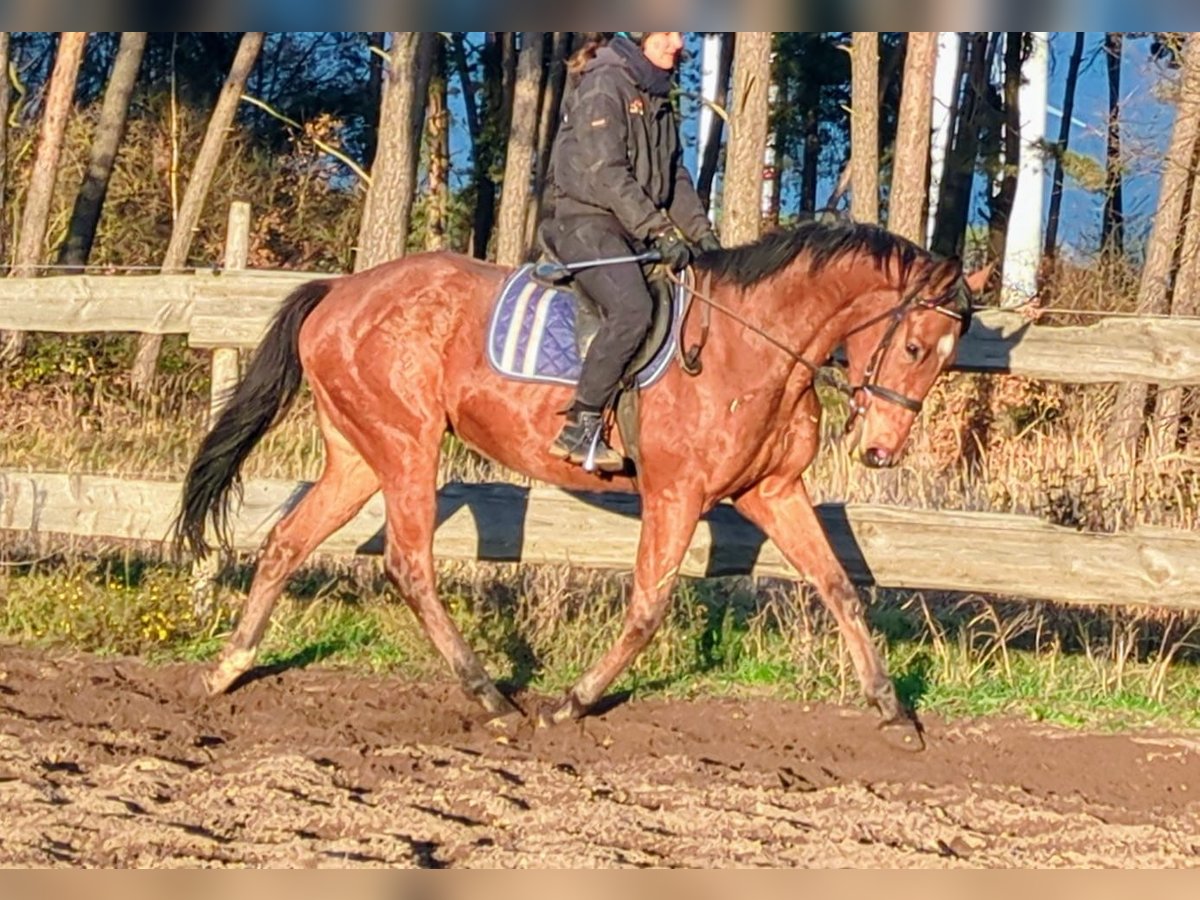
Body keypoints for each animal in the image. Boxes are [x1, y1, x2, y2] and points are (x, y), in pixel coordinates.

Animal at [177, 220, 984, 748]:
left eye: (948, 357)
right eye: (916, 346)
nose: (882, 450)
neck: (752, 346)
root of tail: (340, 291)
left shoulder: (773, 491)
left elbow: (840, 587)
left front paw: (893, 711)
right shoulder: (676, 494)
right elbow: (648, 607)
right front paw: (574, 702)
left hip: (357, 454)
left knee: (288, 541)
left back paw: (228, 667)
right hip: (406, 447)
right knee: (409, 564)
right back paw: (492, 697)